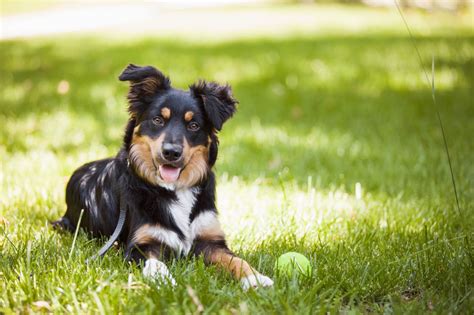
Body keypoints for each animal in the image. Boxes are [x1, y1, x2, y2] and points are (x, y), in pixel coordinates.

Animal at [53, 64, 272, 292]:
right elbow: (155, 264)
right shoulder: (140, 244)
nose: (171, 152)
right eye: (158, 120)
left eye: (193, 125)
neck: (174, 188)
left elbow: (236, 260)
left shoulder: (210, 241)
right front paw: (164, 282)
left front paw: (255, 278)